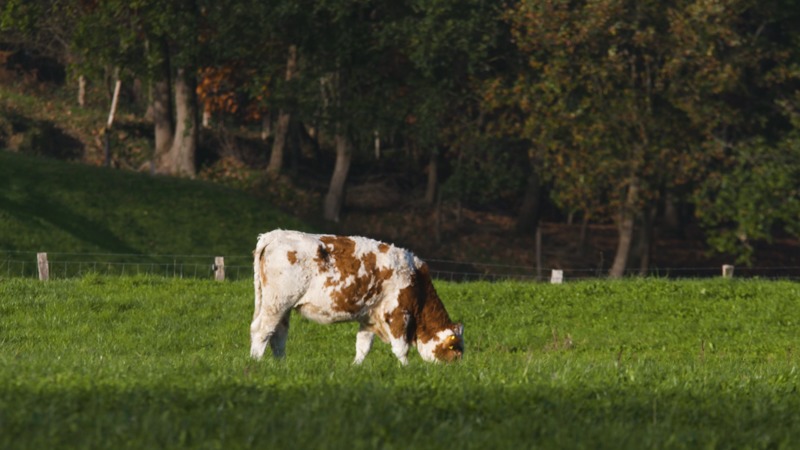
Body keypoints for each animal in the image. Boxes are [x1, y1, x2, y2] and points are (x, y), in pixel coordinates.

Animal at [250, 230, 464, 365]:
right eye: (456, 351)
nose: (455, 369)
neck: (416, 280)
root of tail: (275, 234)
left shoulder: (370, 317)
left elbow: (363, 346)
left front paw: (355, 367)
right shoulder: (398, 313)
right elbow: (401, 348)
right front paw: (407, 370)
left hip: (282, 306)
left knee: (277, 335)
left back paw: (281, 364)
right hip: (277, 303)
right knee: (262, 331)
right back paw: (256, 363)